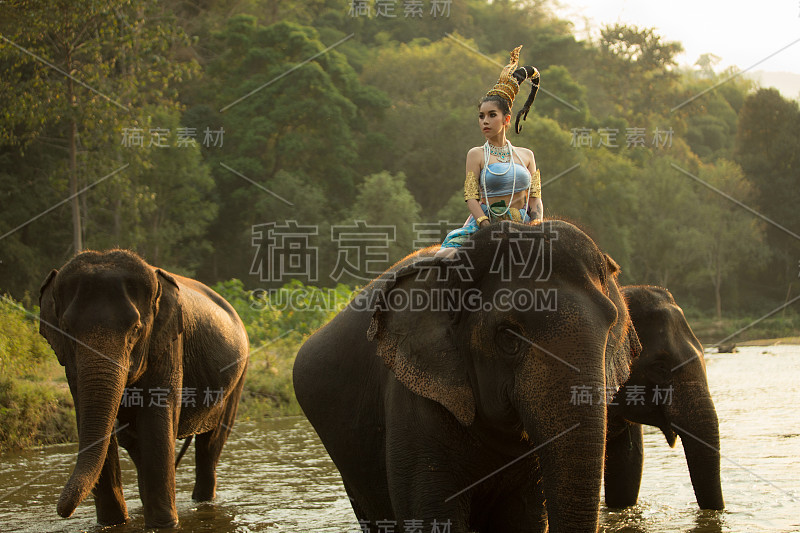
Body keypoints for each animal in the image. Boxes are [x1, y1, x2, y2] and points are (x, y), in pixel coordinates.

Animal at [39, 249, 247, 528]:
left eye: (136, 330)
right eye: (66, 330)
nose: (62, 512)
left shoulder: (168, 342)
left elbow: (156, 421)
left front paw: (163, 526)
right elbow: (90, 419)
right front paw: (112, 523)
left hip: (237, 377)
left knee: (211, 443)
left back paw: (202, 501)